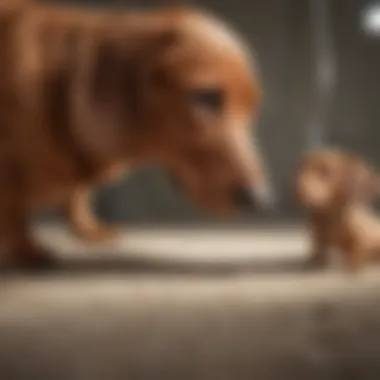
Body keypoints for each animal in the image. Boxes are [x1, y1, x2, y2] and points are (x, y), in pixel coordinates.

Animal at [0, 1, 274, 266]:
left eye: (252, 107)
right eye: (206, 96)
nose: (260, 200)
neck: (57, 88)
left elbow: (76, 196)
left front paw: (87, 228)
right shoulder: (9, 171)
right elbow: (14, 211)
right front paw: (25, 249)